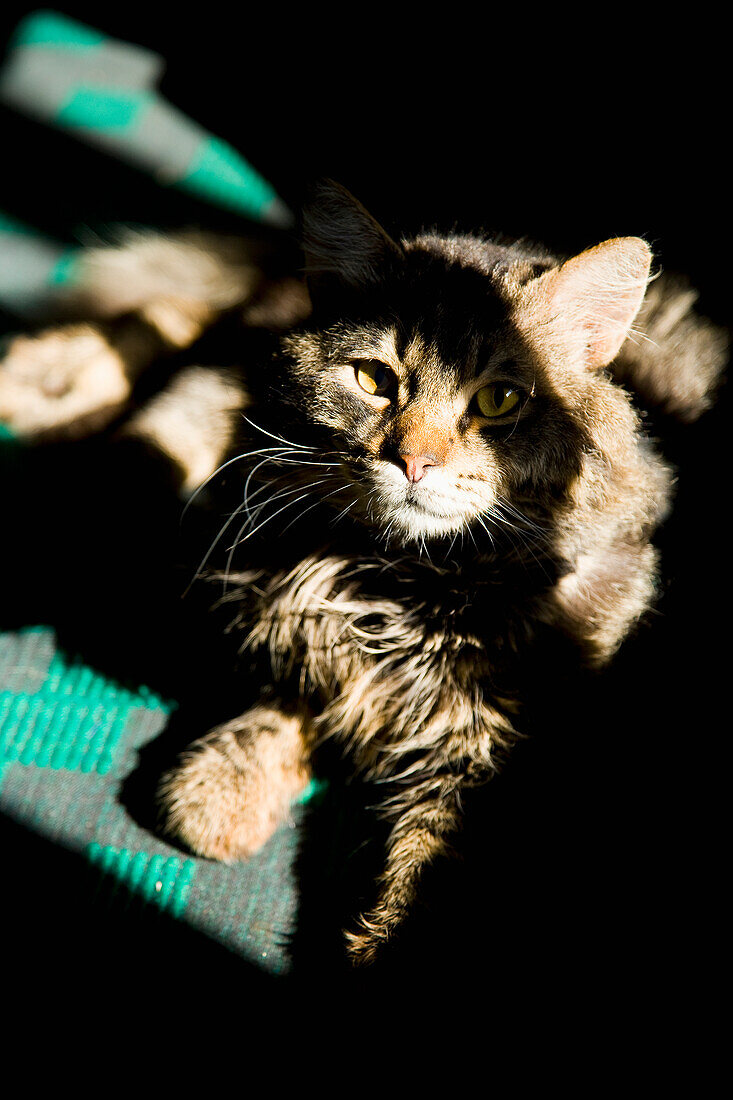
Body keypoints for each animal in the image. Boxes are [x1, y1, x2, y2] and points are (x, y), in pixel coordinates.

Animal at [0, 180, 721, 963]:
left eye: (500, 401)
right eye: (374, 379)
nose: (413, 461)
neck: (396, 574)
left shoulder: (491, 763)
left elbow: (413, 899)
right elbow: (293, 694)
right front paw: (222, 787)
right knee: (171, 333)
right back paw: (49, 398)